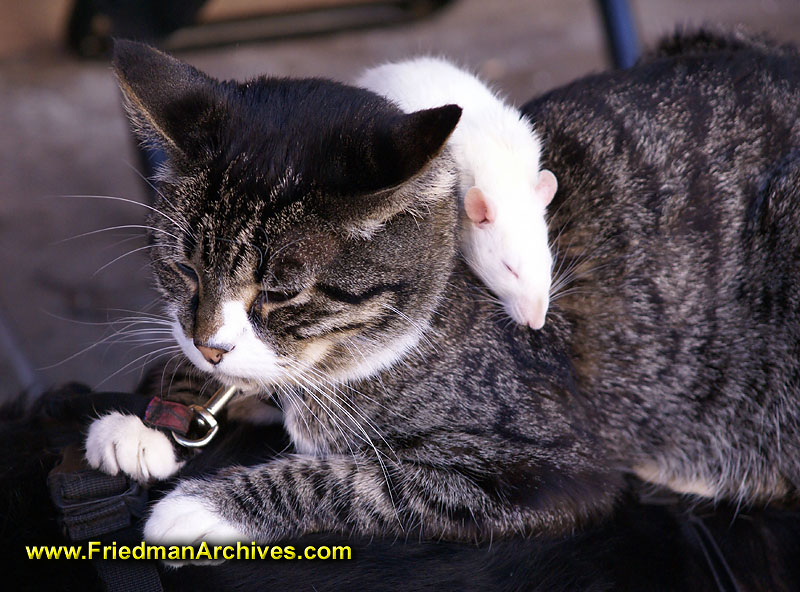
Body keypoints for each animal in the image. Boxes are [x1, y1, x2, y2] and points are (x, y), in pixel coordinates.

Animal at [86, 34, 800, 548]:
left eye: (283, 295)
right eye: (183, 270)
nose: (211, 346)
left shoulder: (554, 467)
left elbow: (369, 483)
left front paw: (197, 505)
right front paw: (145, 424)